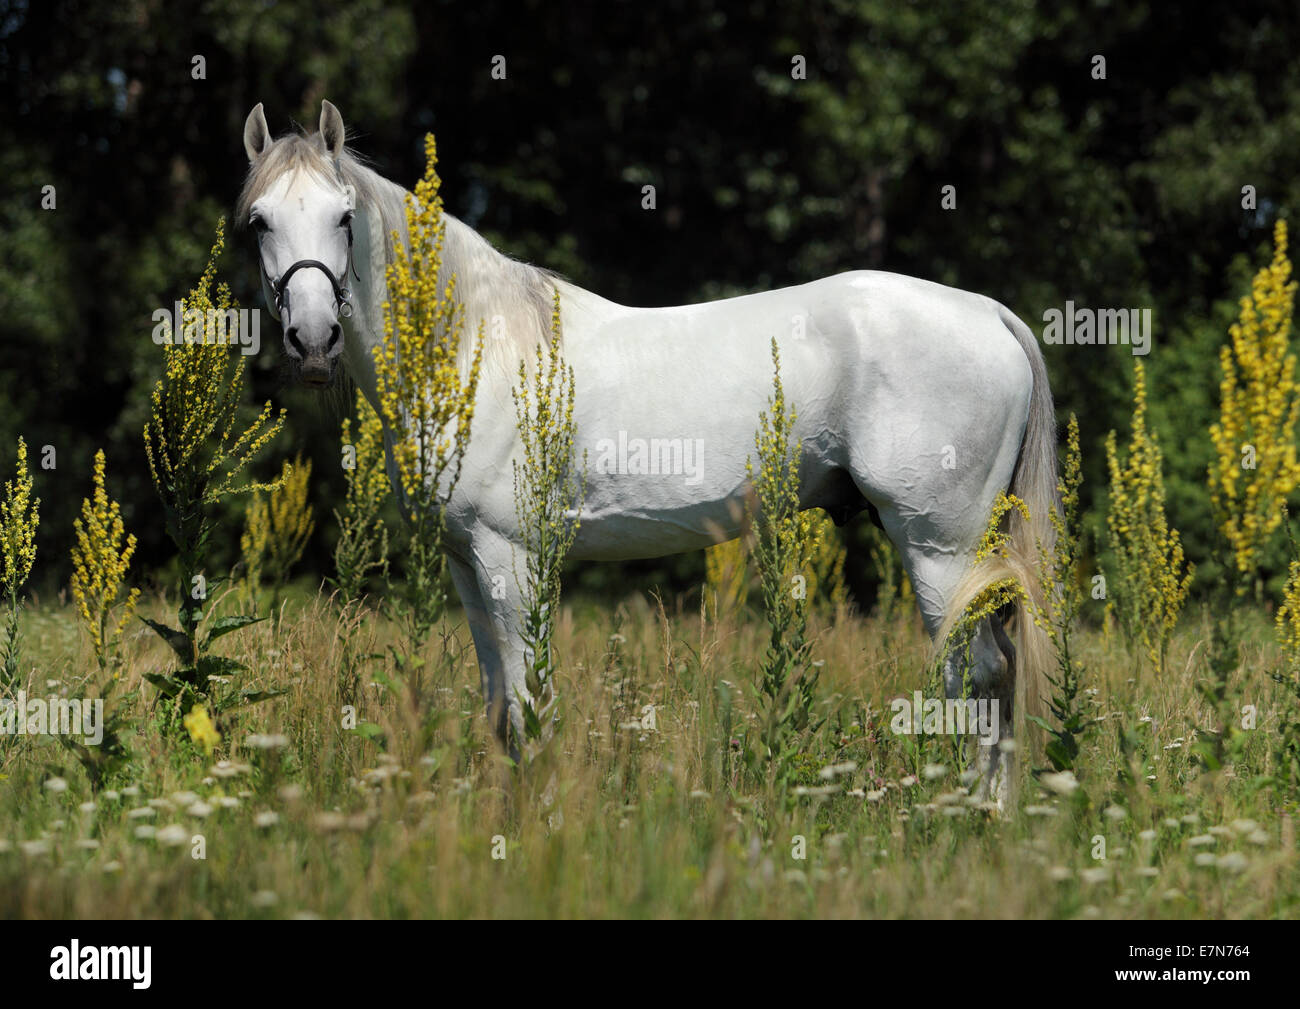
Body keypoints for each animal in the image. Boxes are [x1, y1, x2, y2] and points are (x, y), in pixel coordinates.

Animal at [241, 102, 1055, 806]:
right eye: (259, 221)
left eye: (344, 217)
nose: (312, 342)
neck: (477, 347)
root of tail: (989, 313)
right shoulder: (466, 562)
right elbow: (501, 704)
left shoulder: (512, 555)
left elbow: (530, 701)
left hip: (940, 549)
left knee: (979, 673)